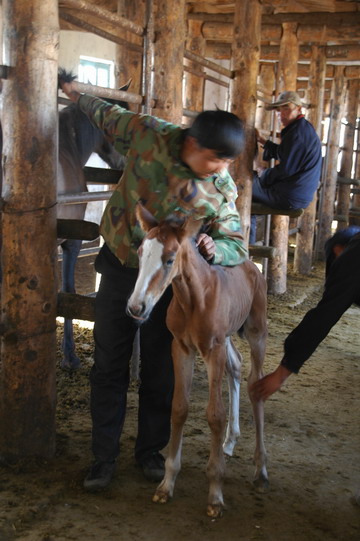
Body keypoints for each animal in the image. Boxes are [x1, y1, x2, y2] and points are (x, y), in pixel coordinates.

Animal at [126, 202, 268, 516]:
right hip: (227, 339)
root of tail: (250, 263)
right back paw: (229, 442)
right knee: (236, 366)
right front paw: (166, 484)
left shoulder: (213, 350)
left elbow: (214, 414)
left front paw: (215, 494)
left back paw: (261, 469)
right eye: (140, 252)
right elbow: (179, 408)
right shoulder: (181, 348)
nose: (136, 307)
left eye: (169, 259)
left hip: (256, 333)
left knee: (256, 386)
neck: (194, 298)